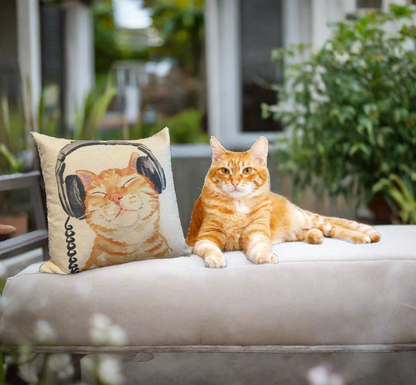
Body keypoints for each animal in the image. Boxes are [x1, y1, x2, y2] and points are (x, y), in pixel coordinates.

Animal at [188, 137, 380, 268]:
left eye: (247, 170)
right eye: (225, 171)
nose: (234, 182)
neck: (238, 206)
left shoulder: (256, 233)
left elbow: (260, 247)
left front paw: (265, 257)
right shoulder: (205, 237)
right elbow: (211, 249)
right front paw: (217, 258)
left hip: (309, 219)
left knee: (335, 227)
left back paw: (362, 237)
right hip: (294, 231)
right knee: (309, 231)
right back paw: (315, 236)